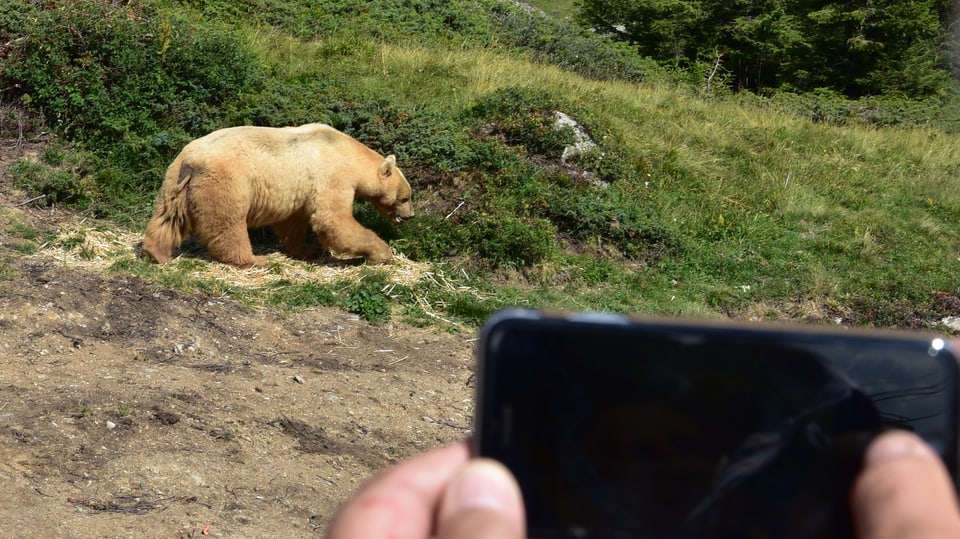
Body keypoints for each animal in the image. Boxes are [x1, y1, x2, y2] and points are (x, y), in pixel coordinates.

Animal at [140, 122, 412, 266]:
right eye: (405, 197)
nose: (410, 216)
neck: (350, 155)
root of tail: (192, 161)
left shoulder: (300, 189)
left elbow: (294, 222)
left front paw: (308, 249)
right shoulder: (333, 177)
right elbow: (334, 220)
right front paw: (381, 253)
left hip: (175, 180)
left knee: (168, 217)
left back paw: (156, 252)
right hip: (226, 182)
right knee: (228, 224)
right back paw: (252, 259)